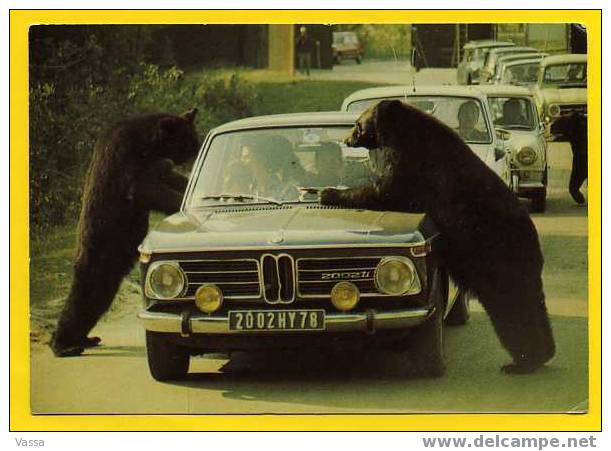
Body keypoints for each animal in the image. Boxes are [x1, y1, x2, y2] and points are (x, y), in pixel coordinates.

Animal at [50, 108, 198, 356]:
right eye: (188, 141)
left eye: (193, 139)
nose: (196, 151)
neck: (148, 145)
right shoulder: (128, 161)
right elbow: (144, 189)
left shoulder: (157, 166)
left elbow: (172, 179)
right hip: (100, 250)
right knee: (83, 295)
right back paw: (64, 344)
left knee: (98, 298)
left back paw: (85, 339)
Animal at [322, 100, 556, 376]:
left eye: (358, 123)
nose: (347, 139)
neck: (401, 133)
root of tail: (532, 240)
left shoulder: (410, 165)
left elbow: (384, 192)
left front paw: (328, 192)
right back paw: (541, 355)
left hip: (497, 258)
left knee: (514, 306)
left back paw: (522, 361)